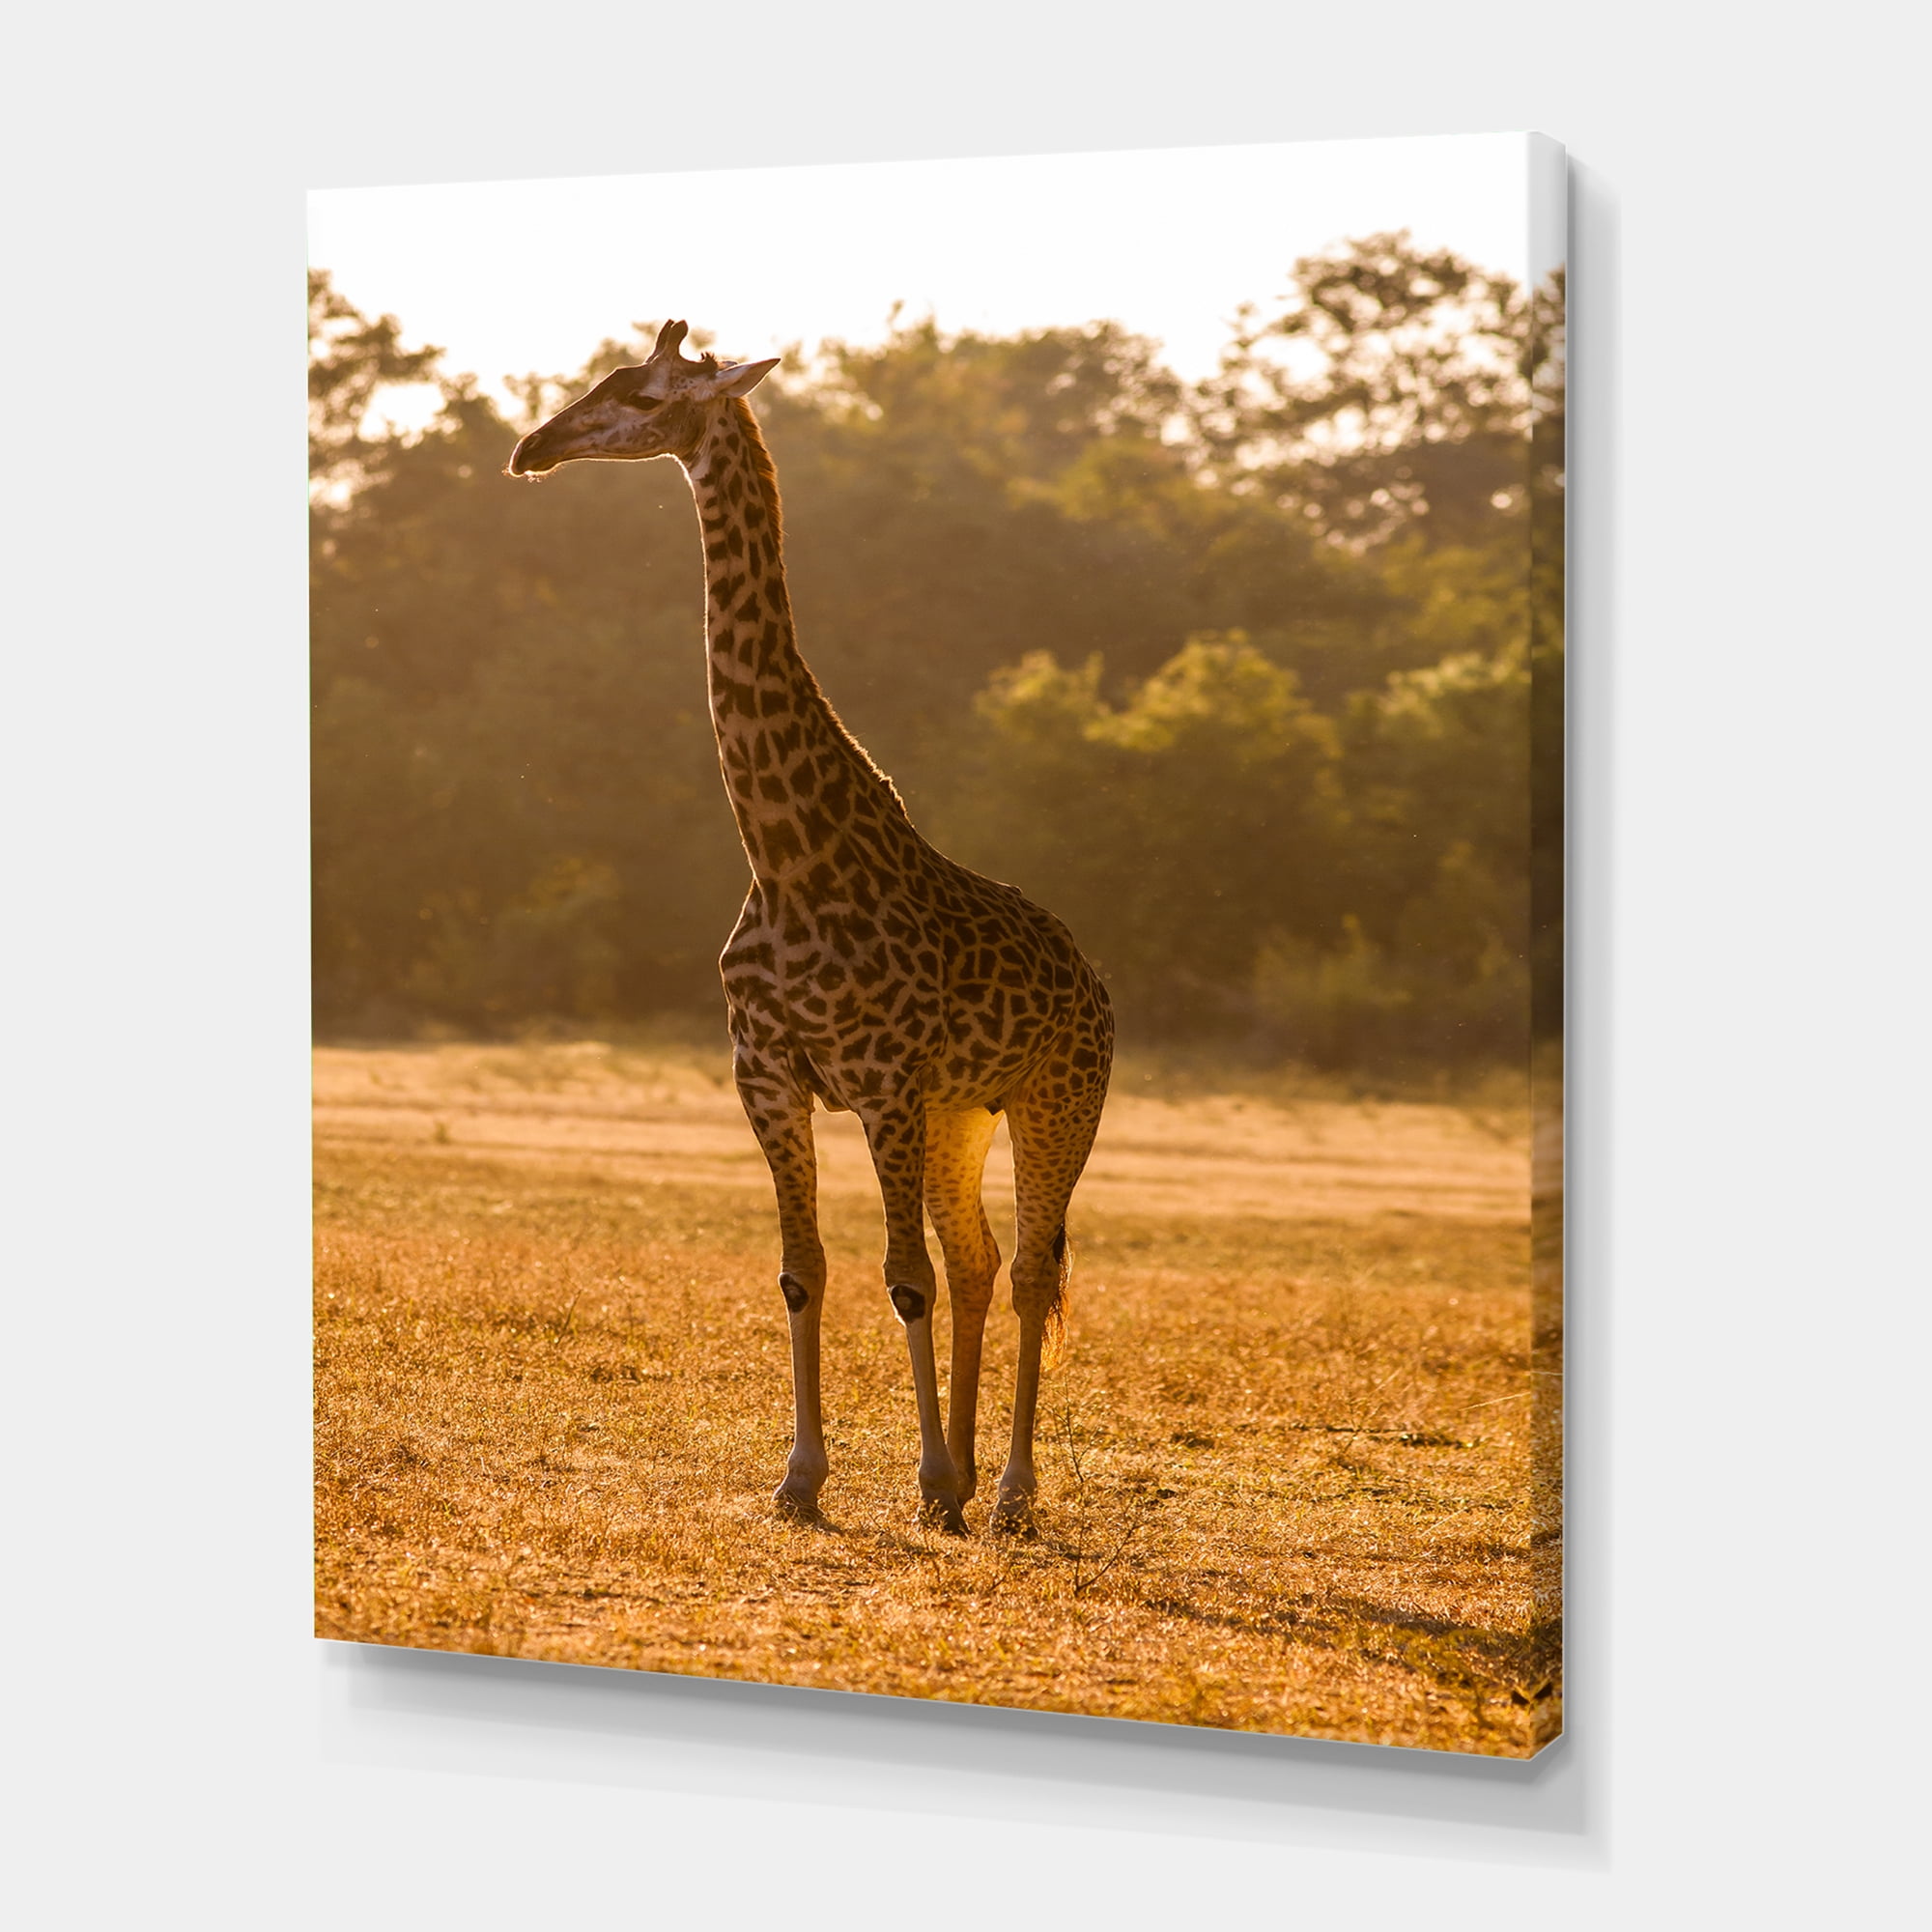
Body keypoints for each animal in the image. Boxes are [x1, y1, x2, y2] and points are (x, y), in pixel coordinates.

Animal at [508, 320, 1113, 1536]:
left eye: (643, 395)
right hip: (958, 1113)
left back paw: (1006, 1491)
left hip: (1054, 1098)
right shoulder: (771, 1074)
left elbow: (898, 1279)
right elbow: (808, 1268)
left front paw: (920, 1477)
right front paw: (804, 1478)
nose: (531, 447)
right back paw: (961, 1479)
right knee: (975, 1258)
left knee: (1027, 1267)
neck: (784, 854)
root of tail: (1096, 979)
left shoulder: (877, 1079)